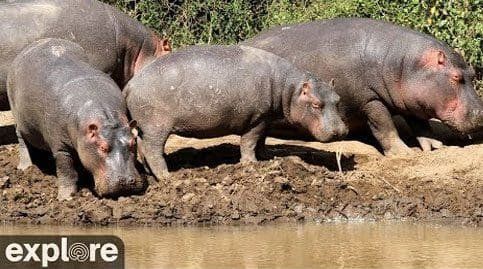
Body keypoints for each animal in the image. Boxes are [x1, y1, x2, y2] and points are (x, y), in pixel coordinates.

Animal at [7, 39, 147, 199]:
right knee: (22, 140)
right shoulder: (60, 147)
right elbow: (66, 171)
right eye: (103, 147)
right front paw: (66, 197)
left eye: (133, 143)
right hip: (16, 116)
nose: (126, 181)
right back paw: (26, 167)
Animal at [123, 44, 346, 178]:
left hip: (145, 127)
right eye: (316, 104)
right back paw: (167, 176)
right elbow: (249, 141)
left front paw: (266, 157)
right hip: (156, 127)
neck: (289, 88)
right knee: (153, 150)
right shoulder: (256, 119)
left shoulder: (265, 118)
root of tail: (130, 85)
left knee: (142, 147)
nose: (340, 131)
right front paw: (251, 164)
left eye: (338, 100)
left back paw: (151, 174)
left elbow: (262, 140)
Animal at [246, 17, 483, 154]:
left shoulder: (412, 99)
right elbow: (384, 125)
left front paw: (435, 146)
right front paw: (404, 153)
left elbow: (421, 124)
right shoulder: (368, 99)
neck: (403, 65)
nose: (481, 114)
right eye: (455, 77)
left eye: (472, 73)